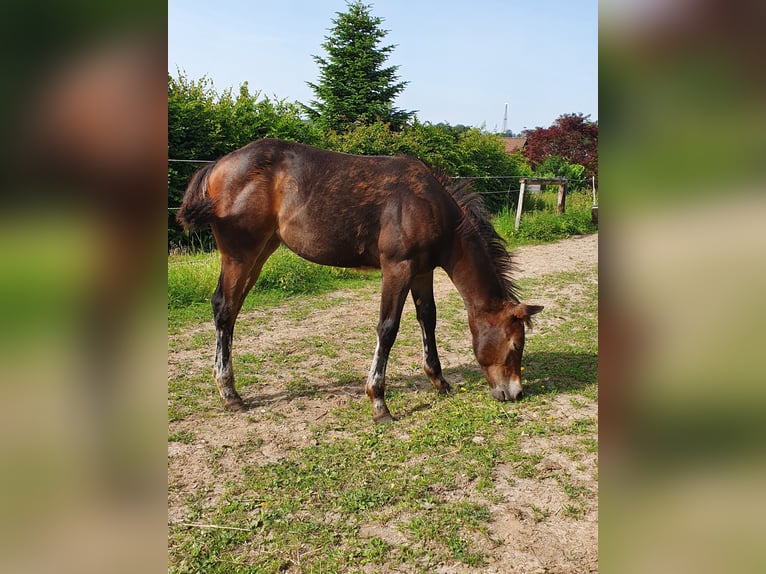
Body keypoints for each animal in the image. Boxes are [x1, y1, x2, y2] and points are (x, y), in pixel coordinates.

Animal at [177, 139, 544, 424]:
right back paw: (229, 393)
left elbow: (428, 318)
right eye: (516, 345)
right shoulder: (397, 268)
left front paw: (439, 381)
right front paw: (379, 402)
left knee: (232, 309)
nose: (514, 392)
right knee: (224, 308)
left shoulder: (422, 271)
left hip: (261, 250)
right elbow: (388, 328)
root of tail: (216, 166)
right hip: (240, 254)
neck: (429, 205)